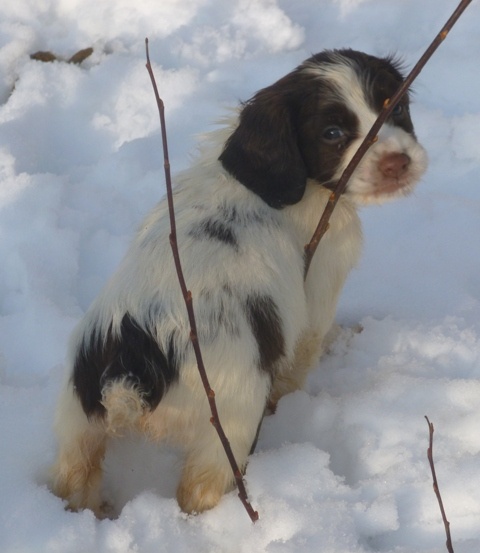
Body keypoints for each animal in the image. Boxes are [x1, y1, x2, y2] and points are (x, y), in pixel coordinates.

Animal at [51, 49, 428, 516]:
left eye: (397, 109)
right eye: (333, 133)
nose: (399, 163)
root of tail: (133, 362)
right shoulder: (319, 289)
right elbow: (307, 351)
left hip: (78, 421)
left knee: (74, 478)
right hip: (228, 426)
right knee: (199, 490)